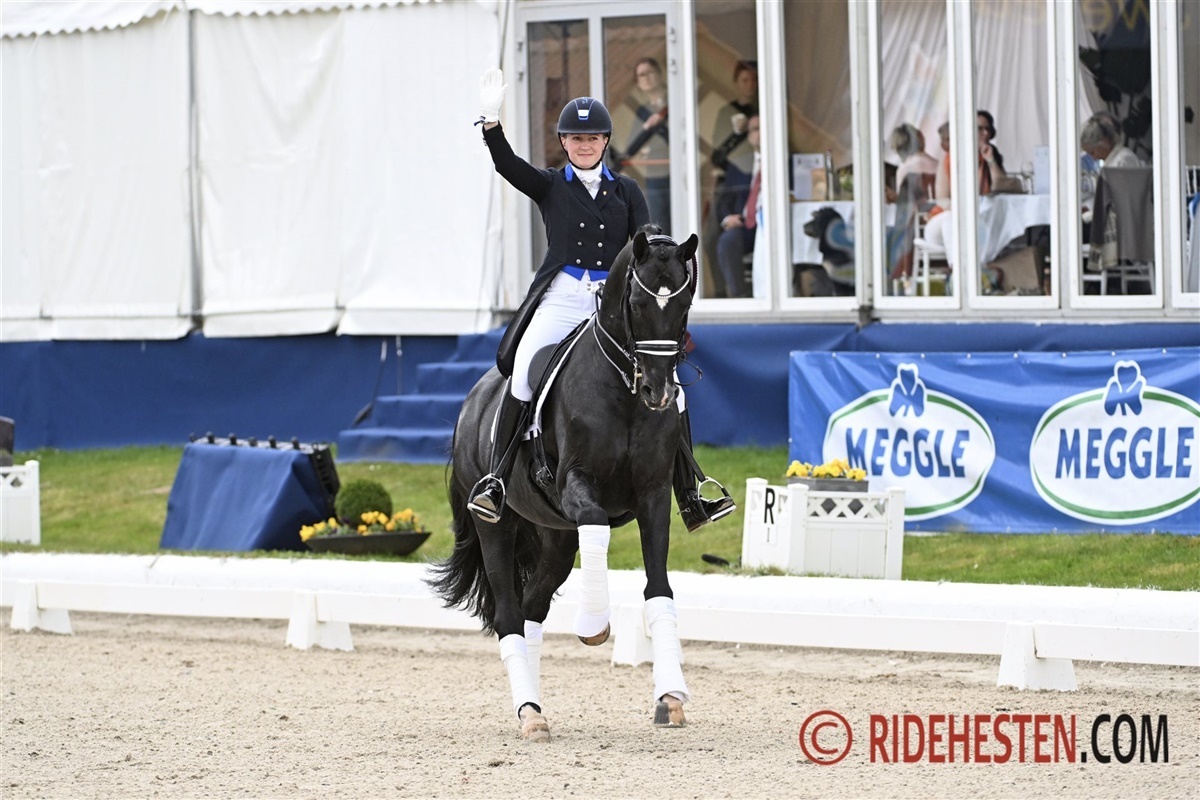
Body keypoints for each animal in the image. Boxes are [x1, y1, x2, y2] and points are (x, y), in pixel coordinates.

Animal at [428, 229, 700, 742]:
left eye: (684, 303)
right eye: (637, 303)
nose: (659, 392)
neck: (623, 388)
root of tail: (473, 400)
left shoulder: (653, 494)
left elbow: (659, 591)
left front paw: (670, 696)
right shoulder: (577, 483)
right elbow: (596, 521)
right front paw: (594, 624)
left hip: (554, 537)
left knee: (532, 610)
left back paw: (534, 709)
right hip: (496, 525)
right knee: (510, 615)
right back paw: (528, 712)